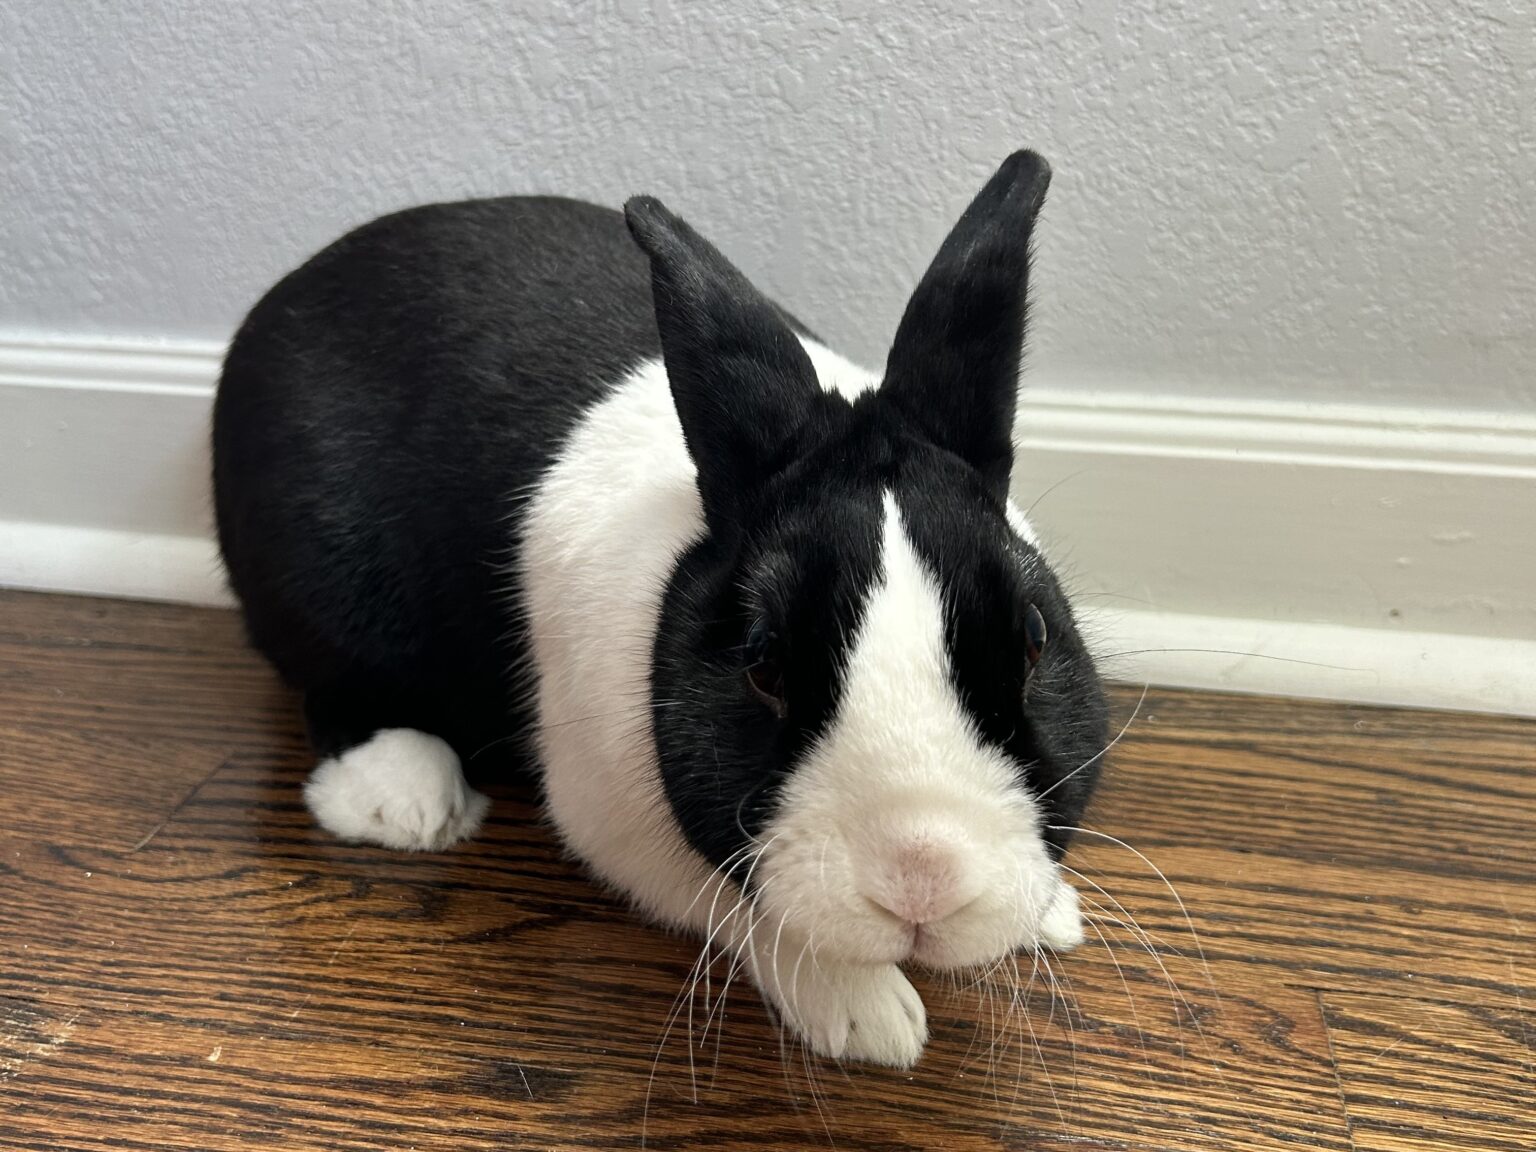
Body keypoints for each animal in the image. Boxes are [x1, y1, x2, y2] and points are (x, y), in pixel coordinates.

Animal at [212, 149, 1109, 1068]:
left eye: (1034, 638)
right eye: (761, 662)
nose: (922, 880)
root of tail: (289, 293)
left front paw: (1051, 914)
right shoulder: (615, 824)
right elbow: (743, 906)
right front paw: (867, 1015)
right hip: (326, 598)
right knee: (334, 690)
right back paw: (410, 800)